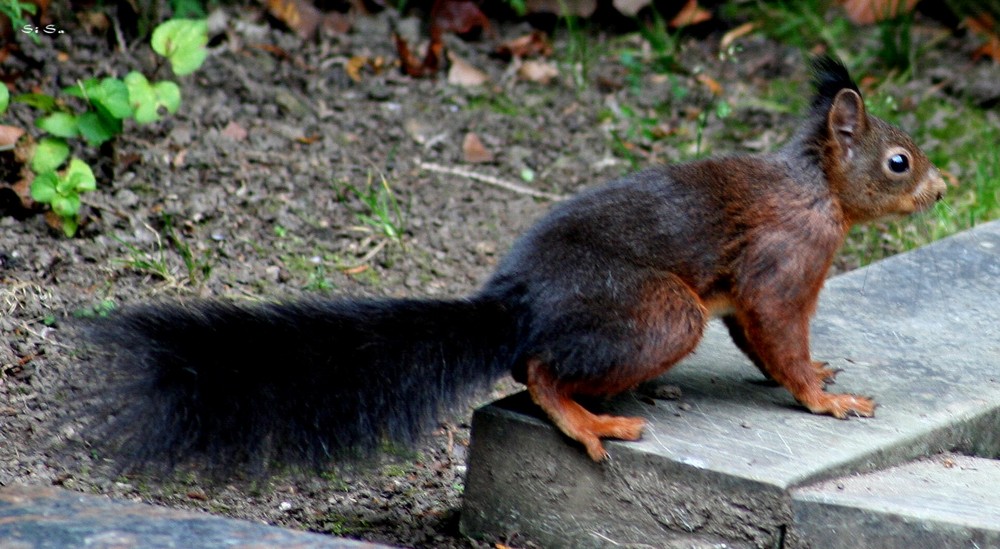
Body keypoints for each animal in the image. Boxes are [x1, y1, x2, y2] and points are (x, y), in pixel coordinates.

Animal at [86, 54, 944, 466]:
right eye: (898, 160)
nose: (943, 187)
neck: (819, 188)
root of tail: (517, 300)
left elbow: (762, 343)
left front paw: (819, 375)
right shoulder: (787, 256)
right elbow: (775, 329)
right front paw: (827, 399)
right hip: (663, 311)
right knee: (537, 371)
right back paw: (589, 419)